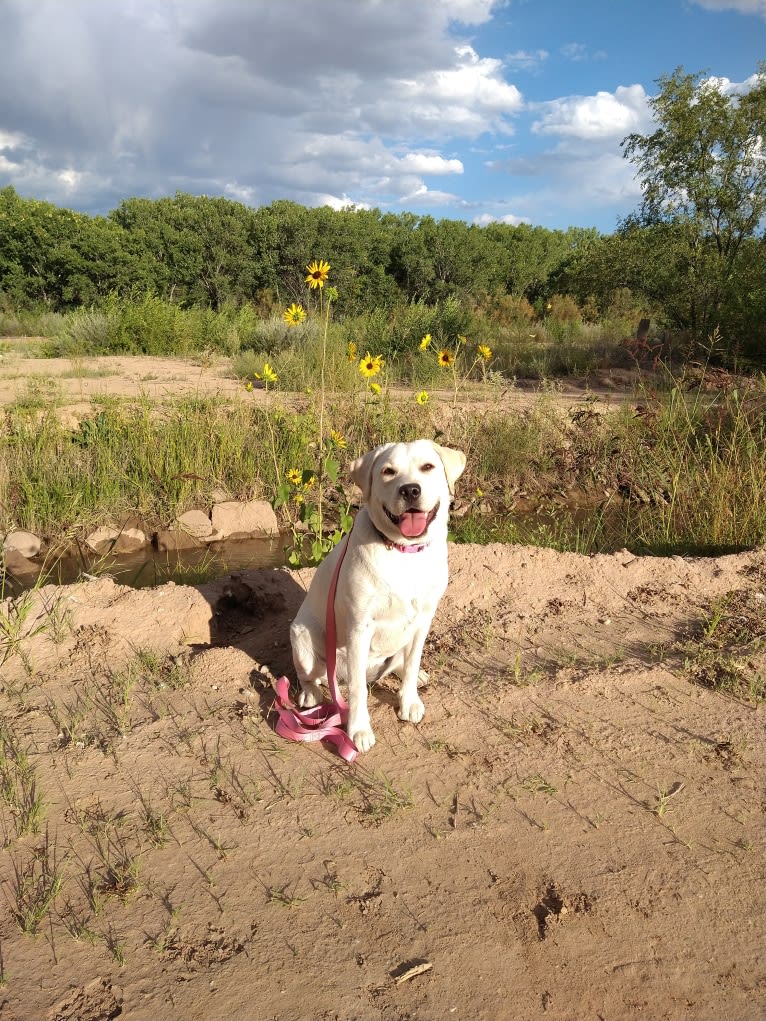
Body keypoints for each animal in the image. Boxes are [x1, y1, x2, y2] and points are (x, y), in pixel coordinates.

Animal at [290, 436, 465, 751]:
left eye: (428, 467)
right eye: (388, 471)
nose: (410, 489)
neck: (404, 552)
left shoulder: (424, 619)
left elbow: (412, 663)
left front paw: (409, 701)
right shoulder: (360, 627)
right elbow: (359, 690)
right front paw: (358, 730)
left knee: (401, 663)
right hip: (302, 636)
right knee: (314, 676)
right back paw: (311, 693)